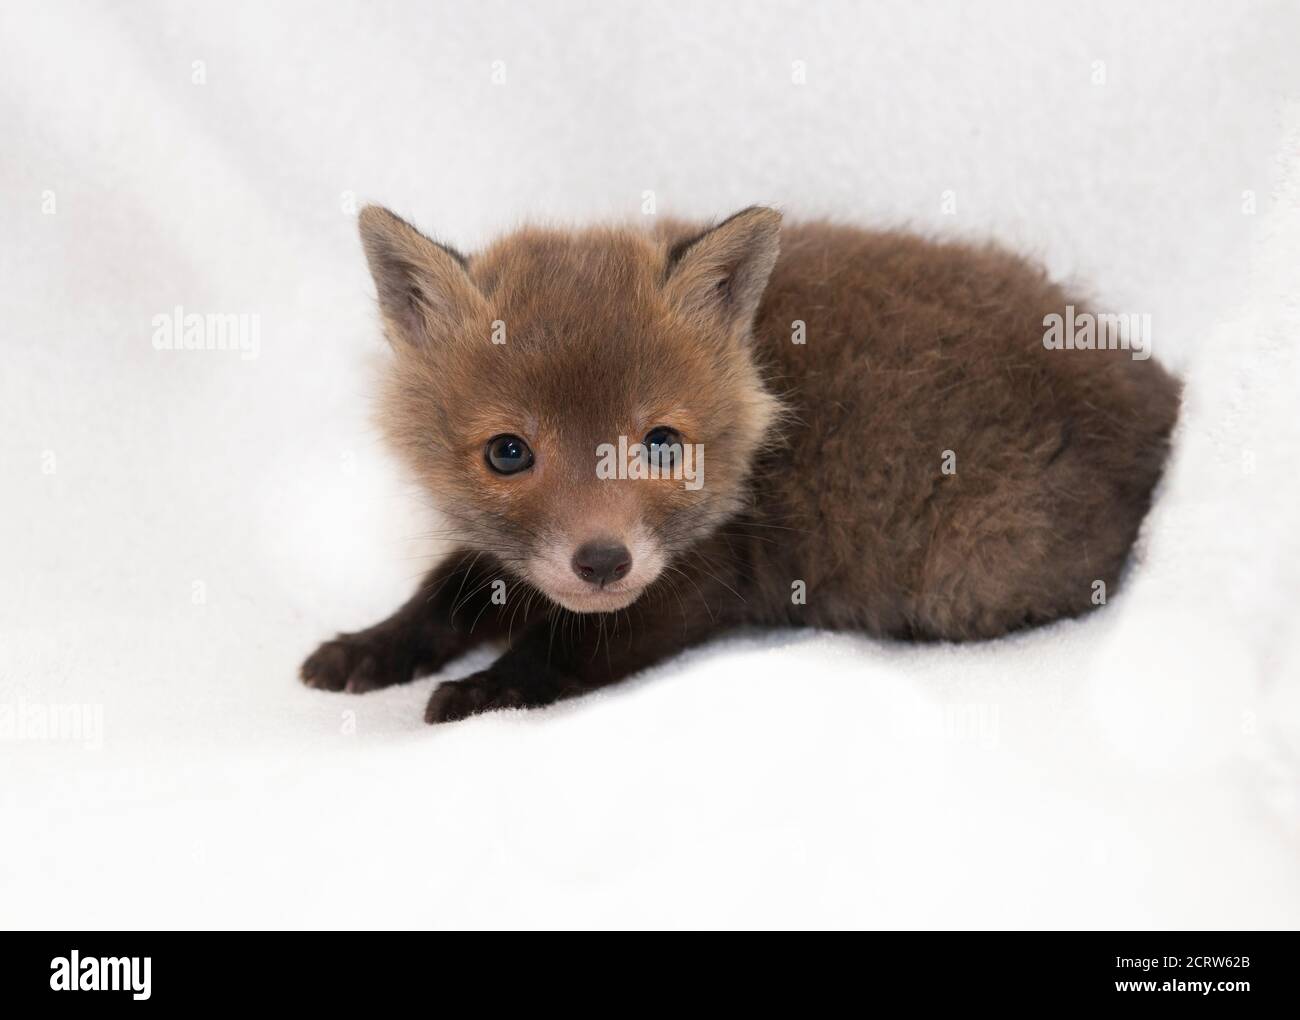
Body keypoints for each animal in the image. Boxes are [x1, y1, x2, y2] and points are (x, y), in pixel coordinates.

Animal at [301, 202, 1180, 722]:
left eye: (661, 443)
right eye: (508, 452)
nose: (602, 561)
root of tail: (1163, 391)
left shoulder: (701, 582)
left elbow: (562, 649)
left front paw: (483, 687)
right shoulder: (510, 559)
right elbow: (444, 596)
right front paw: (370, 647)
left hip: (973, 576)